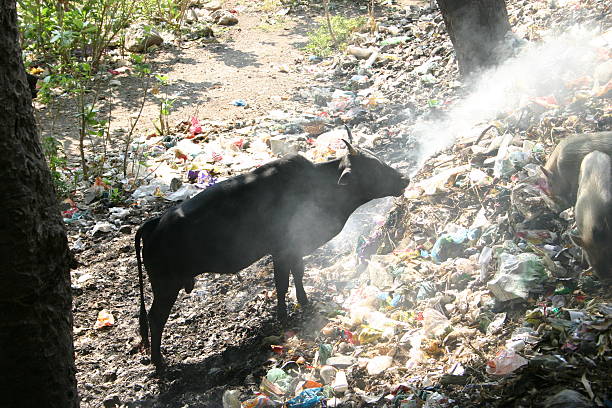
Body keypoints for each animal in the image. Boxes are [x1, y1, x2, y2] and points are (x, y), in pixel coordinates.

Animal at [136, 131, 408, 366]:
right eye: (372, 168)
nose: (404, 179)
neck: (320, 187)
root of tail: (156, 223)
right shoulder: (282, 251)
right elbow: (282, 284)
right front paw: (284, 317)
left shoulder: (295, 249)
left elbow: (298, 274)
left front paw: (304, 302)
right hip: (166, 286)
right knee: (155, 319)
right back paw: (159, 363)